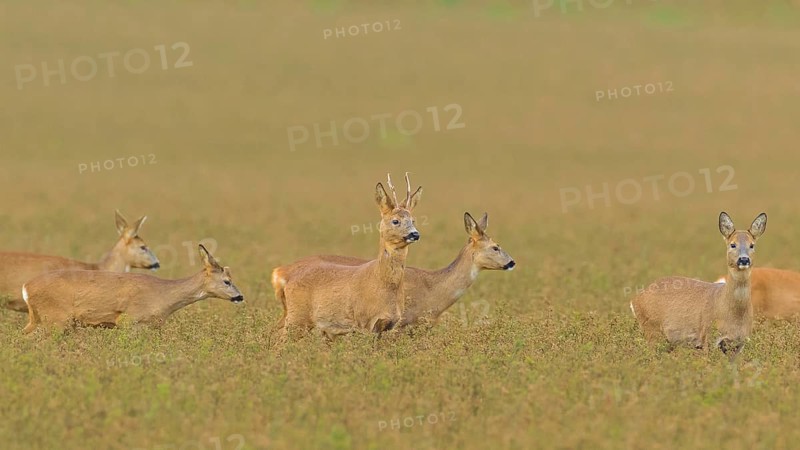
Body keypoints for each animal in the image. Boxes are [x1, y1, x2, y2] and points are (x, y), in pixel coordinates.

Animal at [21, 244, 243, 333]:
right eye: (227, 281)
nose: (240, 296)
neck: (163, 295)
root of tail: (26, 287)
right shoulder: (129, 320)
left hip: (37, 319)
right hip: (56, 320)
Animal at [272, 173, 422, 340]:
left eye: (413, 220)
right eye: (395, 221)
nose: (415, 234)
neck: (384, 284)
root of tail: (281, 275)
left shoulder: (388, 325)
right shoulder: (365, 322)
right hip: (297, 316)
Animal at [630, 212, 767, 359]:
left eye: (752, 245)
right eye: (732, 244)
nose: (744, 259)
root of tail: (635, 299)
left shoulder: (740, 343)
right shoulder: (707, 337)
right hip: (651, 329)